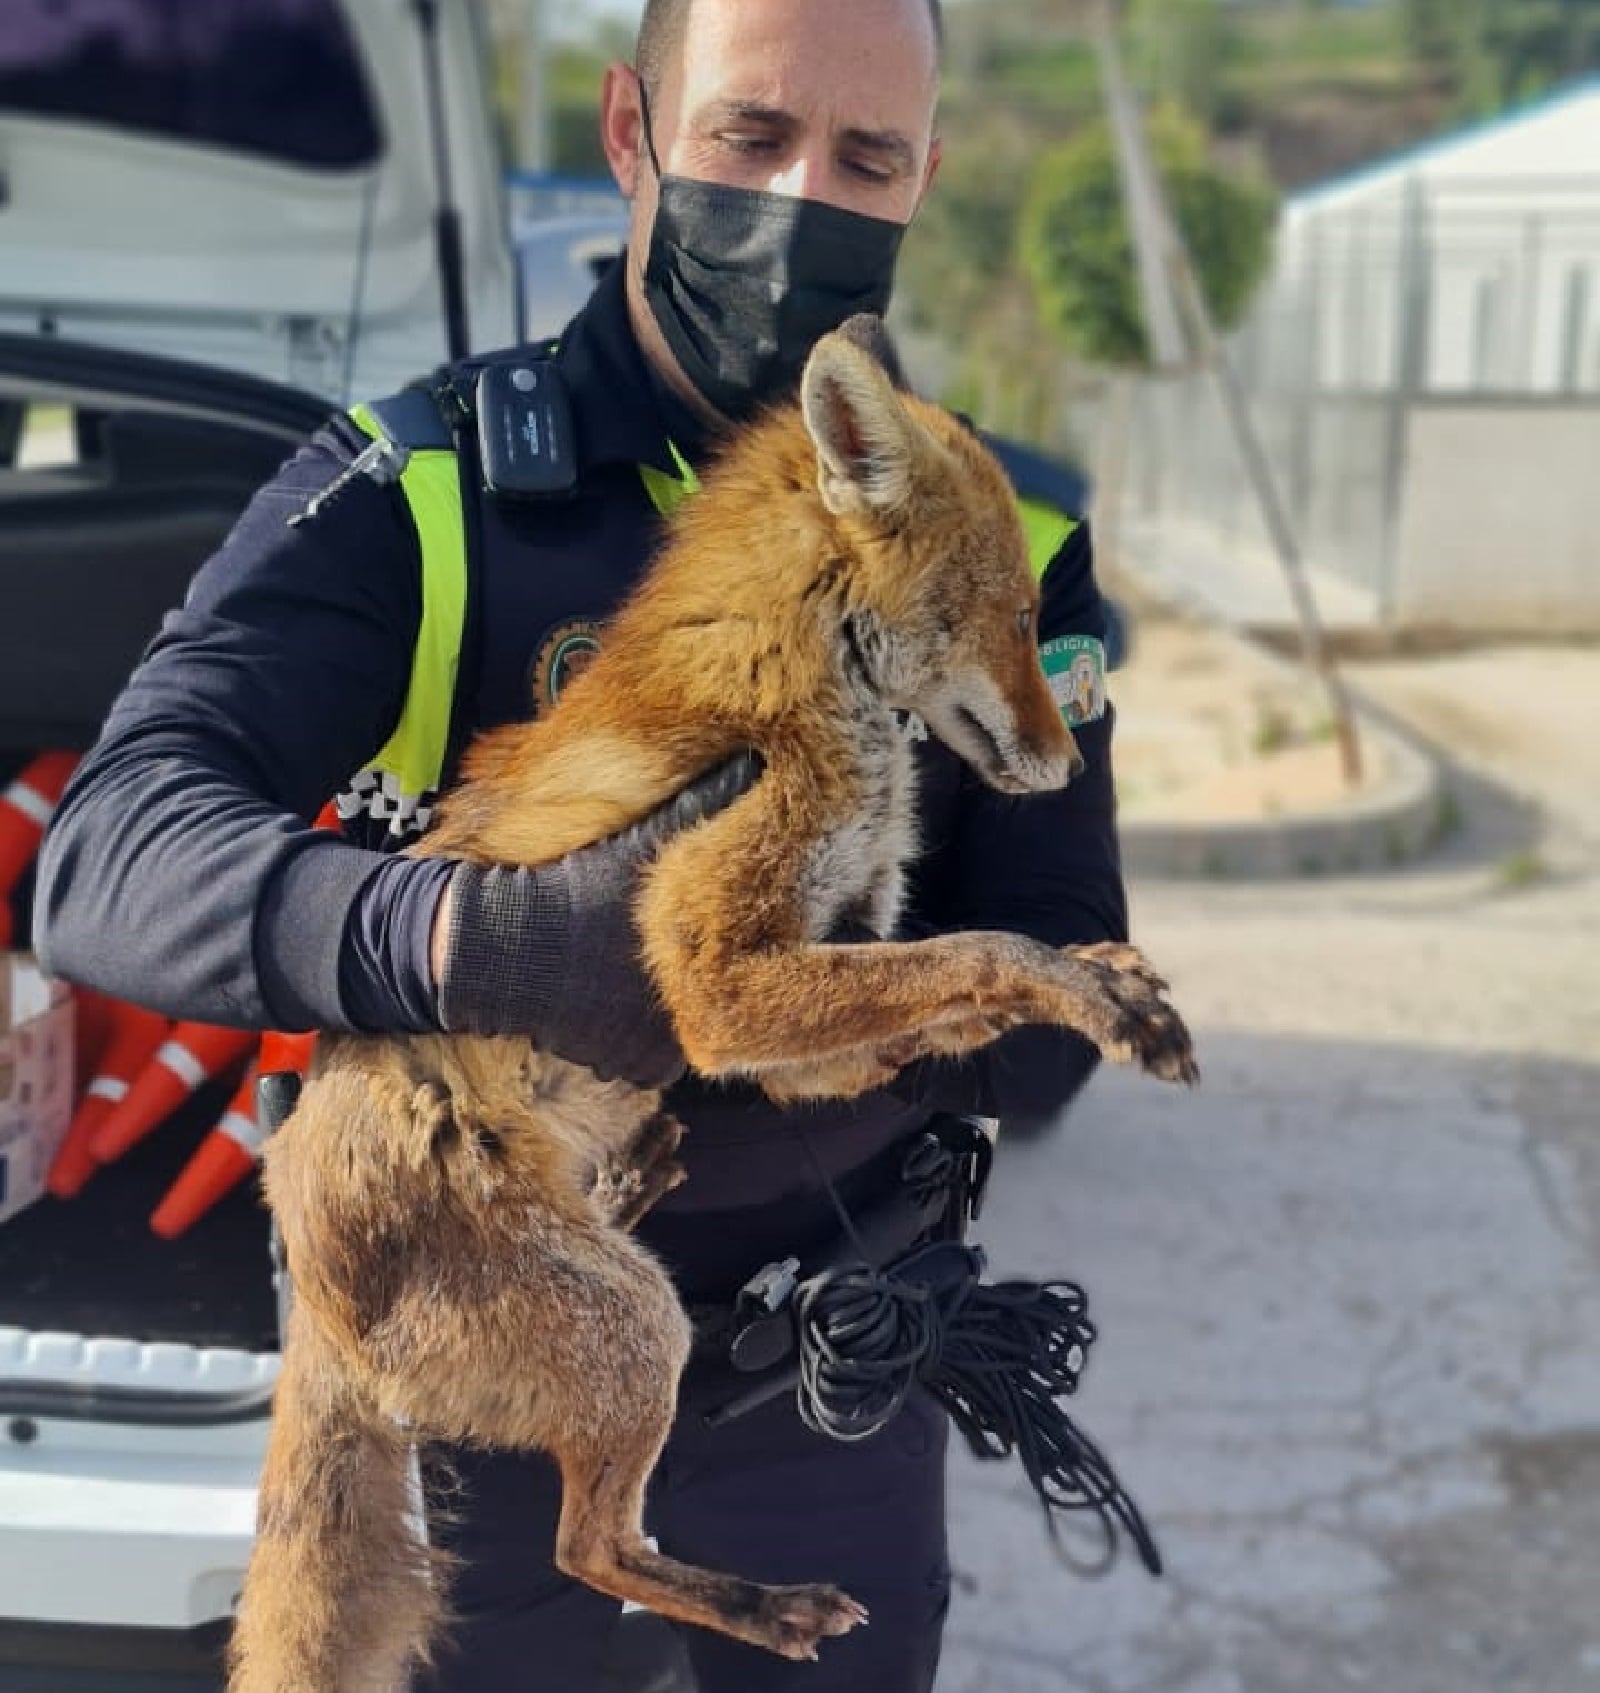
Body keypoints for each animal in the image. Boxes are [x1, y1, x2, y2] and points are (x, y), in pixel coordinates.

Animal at [230, 319, 1191, 1693]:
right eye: (1014, 615)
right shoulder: (713, 982)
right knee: (590, 1547)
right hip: (637, 1337)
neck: (806, 689)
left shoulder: (798, 1011)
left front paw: (1100, 973)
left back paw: (636, 1180)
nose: (1071, 758)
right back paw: (766, 1604)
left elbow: (948, 978)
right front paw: (1101, 992)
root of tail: (308, 1278)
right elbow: (985, 944)